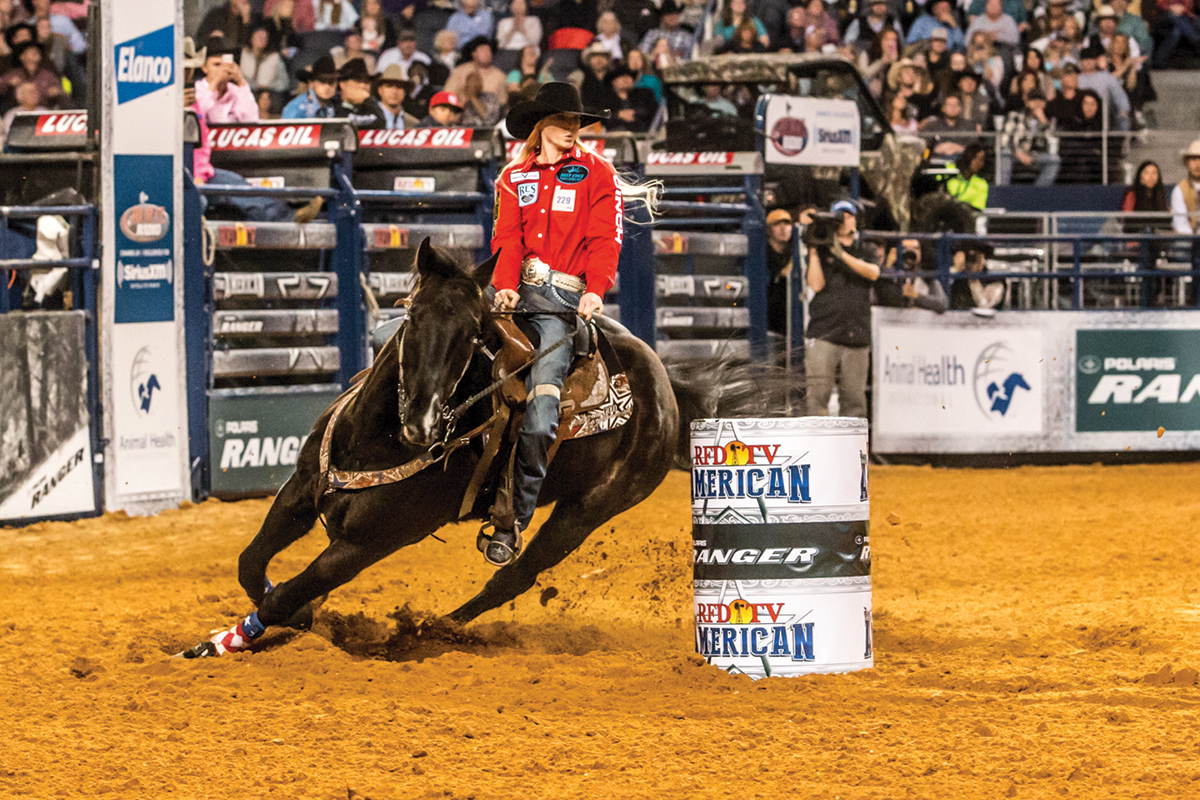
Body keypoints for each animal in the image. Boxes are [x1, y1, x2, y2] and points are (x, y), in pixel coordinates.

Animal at [192, 239, 691, 657]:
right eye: (413, 317)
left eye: (473, 332)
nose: (423, 420)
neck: (373, 442)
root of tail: (664, 383)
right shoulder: (299, 490)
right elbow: (251, 563)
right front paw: (290, 615)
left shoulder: (366, 544)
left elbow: (287, 593)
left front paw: (236, 637)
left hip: (587, 511)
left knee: (514, 577)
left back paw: (434, 630)